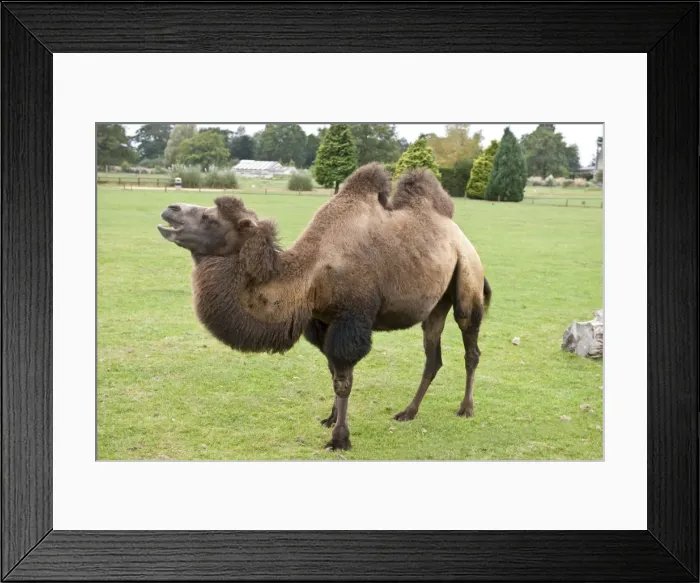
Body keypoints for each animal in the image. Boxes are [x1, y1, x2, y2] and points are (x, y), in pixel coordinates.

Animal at [157, 163, 491, 451]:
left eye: (210, 219)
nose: (171, 209)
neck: (310, 274)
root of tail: (459, 235)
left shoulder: (350, 319)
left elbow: (343, 381)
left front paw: (340, 439)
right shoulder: (322, 322)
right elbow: (332, 373)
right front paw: (330, 419)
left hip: (467, 277)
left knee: (470, 344)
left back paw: (466, 408)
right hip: (435, 303)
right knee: (432, 355)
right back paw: (408, 412)